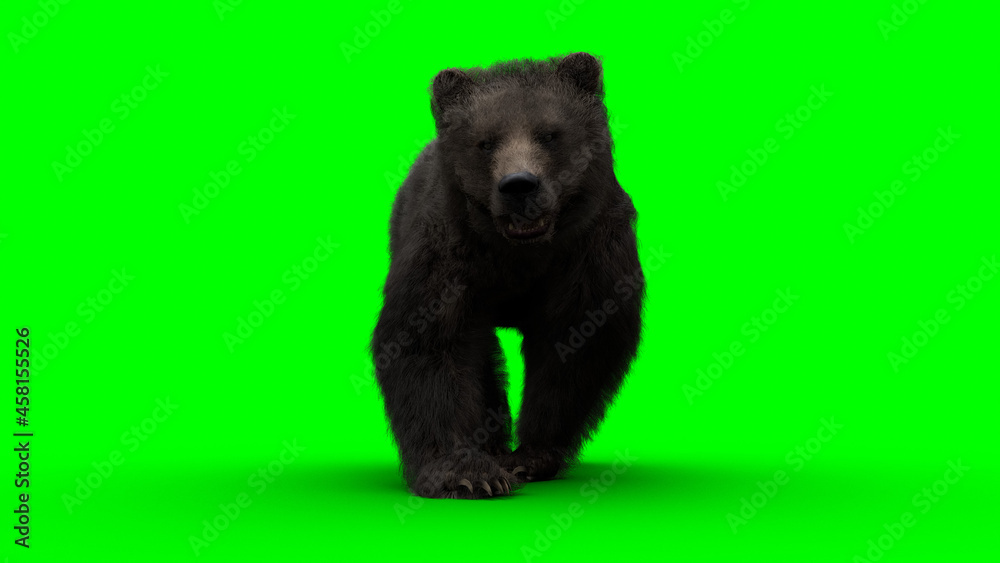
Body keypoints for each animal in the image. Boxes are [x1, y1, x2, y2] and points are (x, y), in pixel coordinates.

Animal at [372, 52, 644, 499]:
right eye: (485, 142)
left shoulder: (587, 252)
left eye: (550, 134)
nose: (519, 185)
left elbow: (574, 342)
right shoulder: (448, 253)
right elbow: (430, 343)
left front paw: (529, 457)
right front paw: (467, 473)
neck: (520, 254)